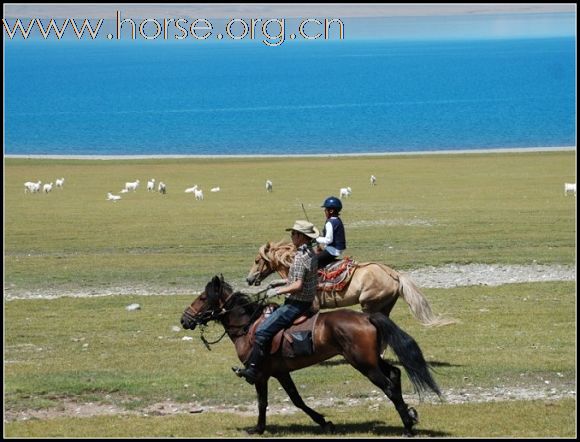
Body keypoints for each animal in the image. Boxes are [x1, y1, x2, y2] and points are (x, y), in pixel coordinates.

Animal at [180, 274, 440, 436]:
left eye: (202, 298)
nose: (184, 320)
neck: (248, 326)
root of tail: (367, 317)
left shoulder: (260, 374)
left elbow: (262, 402)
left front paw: (258, 429)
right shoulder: (281, 372)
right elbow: (297, 399)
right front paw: (324, 422)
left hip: (364, 364)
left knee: (389, 387)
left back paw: (407, 427)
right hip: (372, 360)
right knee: (395, 375)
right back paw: (410, 417)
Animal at [247, 240, 456, 326]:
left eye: (257, 260)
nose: (249, 279)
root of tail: (394, 274)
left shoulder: (313, 305)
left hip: (369, 305)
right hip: (385, 306)